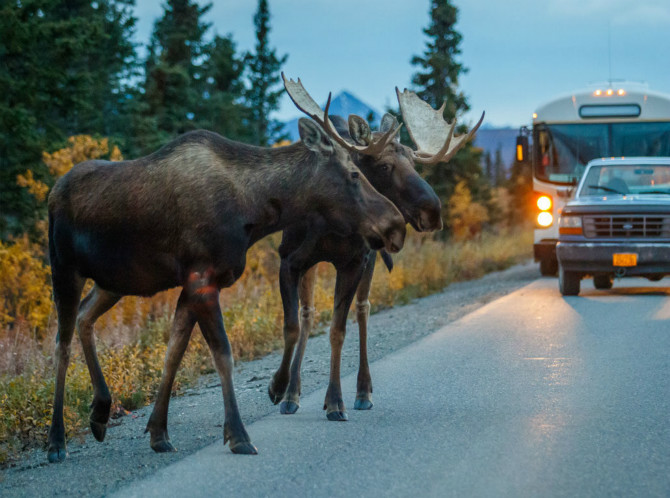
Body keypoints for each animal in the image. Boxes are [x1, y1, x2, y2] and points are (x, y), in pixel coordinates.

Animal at [270, 76, 486, 420]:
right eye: (384, 166)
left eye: (414, 164)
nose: (434, 212)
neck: (330, 223)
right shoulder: (291, 258)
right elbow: (298, 320)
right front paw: (285, 391)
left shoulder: (354, 261)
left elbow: (338, 330)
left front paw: (335, 400)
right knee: (313, 314)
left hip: (370, 259)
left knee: (363, 310)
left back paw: (362, 390)